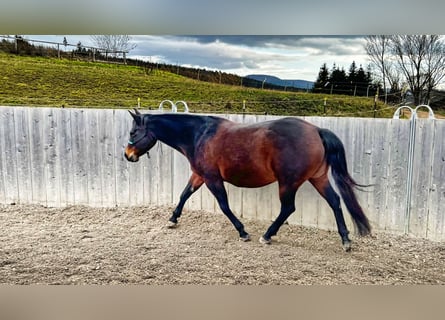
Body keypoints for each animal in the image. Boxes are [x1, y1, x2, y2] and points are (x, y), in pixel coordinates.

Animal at [123, 111, 370, 251]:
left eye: (133, 132)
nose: (127, 155)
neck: (198, 135)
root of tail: (317, 130)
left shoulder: (212, 178)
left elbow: (224, 205)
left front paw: (243, 232)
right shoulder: (199, 175)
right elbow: (184, 194)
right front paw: (172, 219)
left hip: (288, 183)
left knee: (288, 208)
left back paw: (267, 236)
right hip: (317, 178)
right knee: (335, 201)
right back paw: (345, 240)